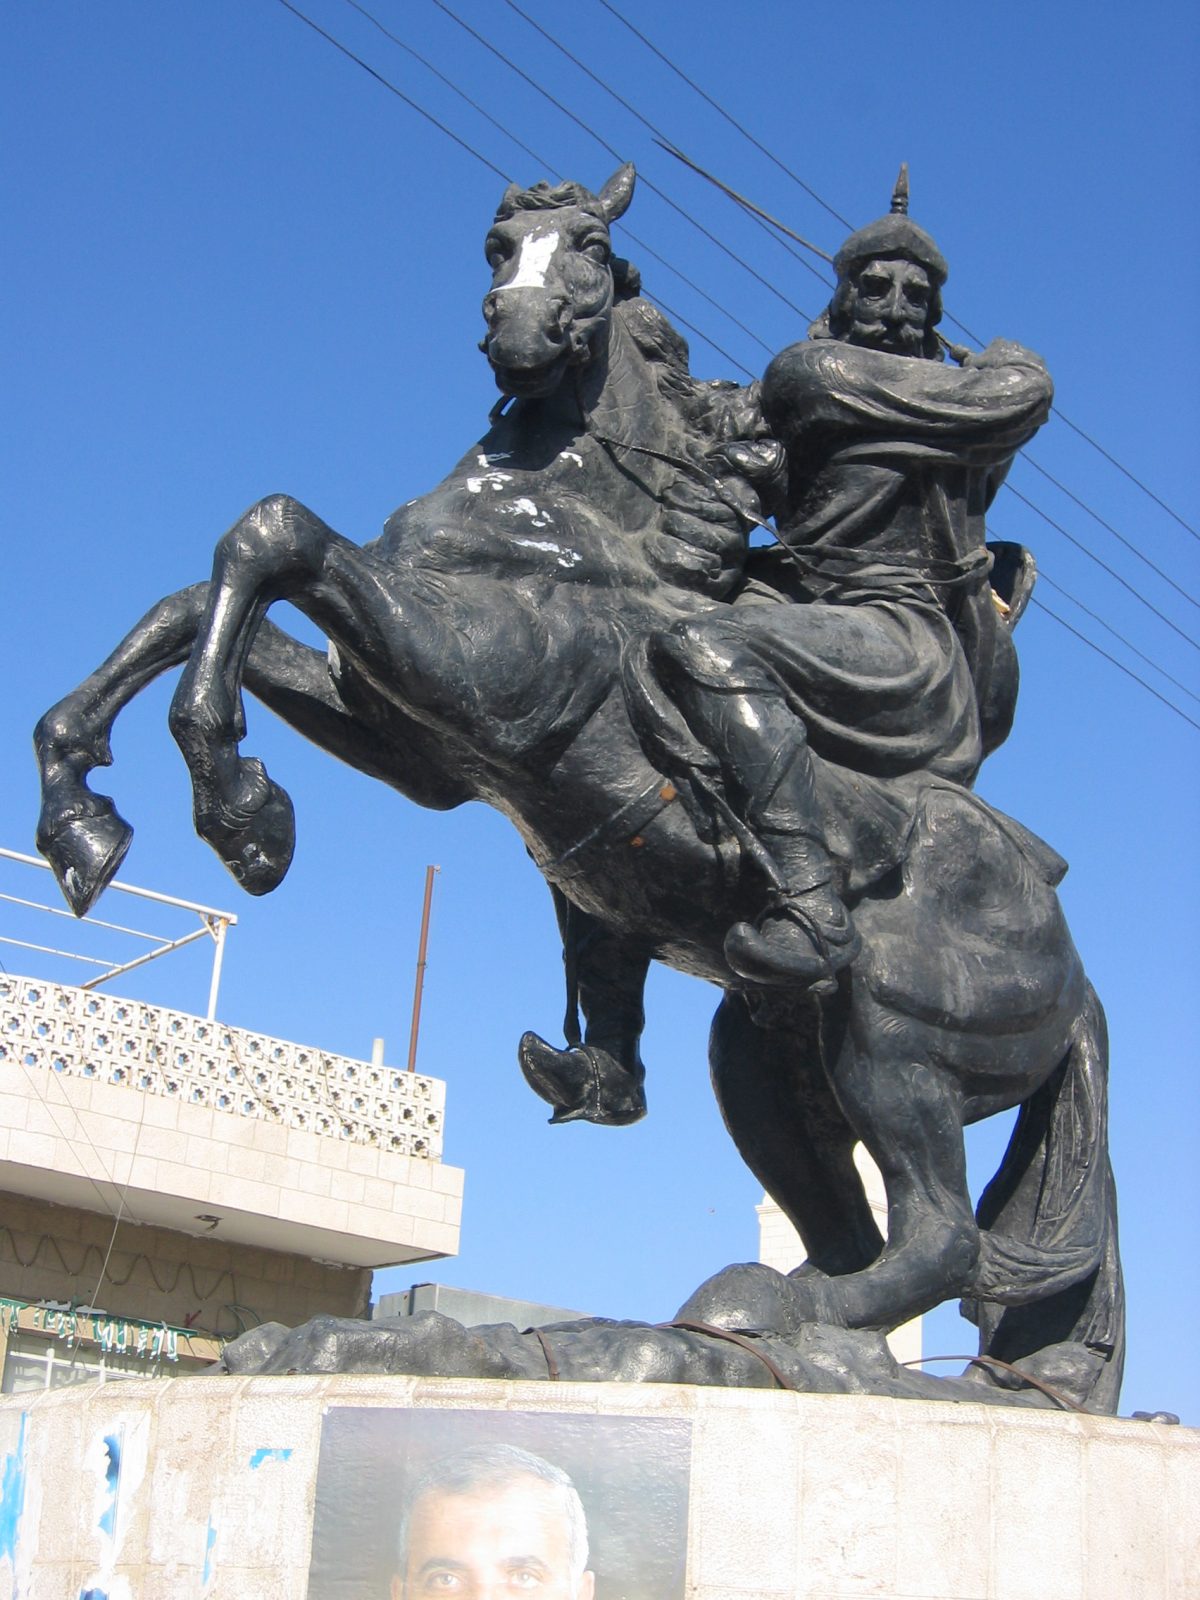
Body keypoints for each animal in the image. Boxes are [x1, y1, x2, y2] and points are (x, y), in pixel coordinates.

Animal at [32, 168, 1126, 1408]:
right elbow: (201, 596)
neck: (563, 517)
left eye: (592, 247)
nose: (515, 335)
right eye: (497, 244)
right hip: (769, 1058)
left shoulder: (465, 677)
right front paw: (83, 814)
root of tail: (1076, 971)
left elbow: (274, 534)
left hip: (898, 1053)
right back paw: (754, 1318)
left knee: (943, 1236)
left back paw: (767, 1310)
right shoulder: (405, 735)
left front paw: (238, 812)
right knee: (861, 1234)